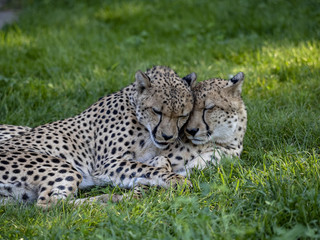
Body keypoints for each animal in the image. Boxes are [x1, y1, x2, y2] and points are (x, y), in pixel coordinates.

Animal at [0, 66, 195, 208]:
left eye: (183, 115)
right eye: (157, 111)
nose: (168, 136)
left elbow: (158, 161)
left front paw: (149, 178)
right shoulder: (106, 163)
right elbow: (146, 168)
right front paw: (175, 179)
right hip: (64, 167)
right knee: (49, 205)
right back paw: (109, 201)